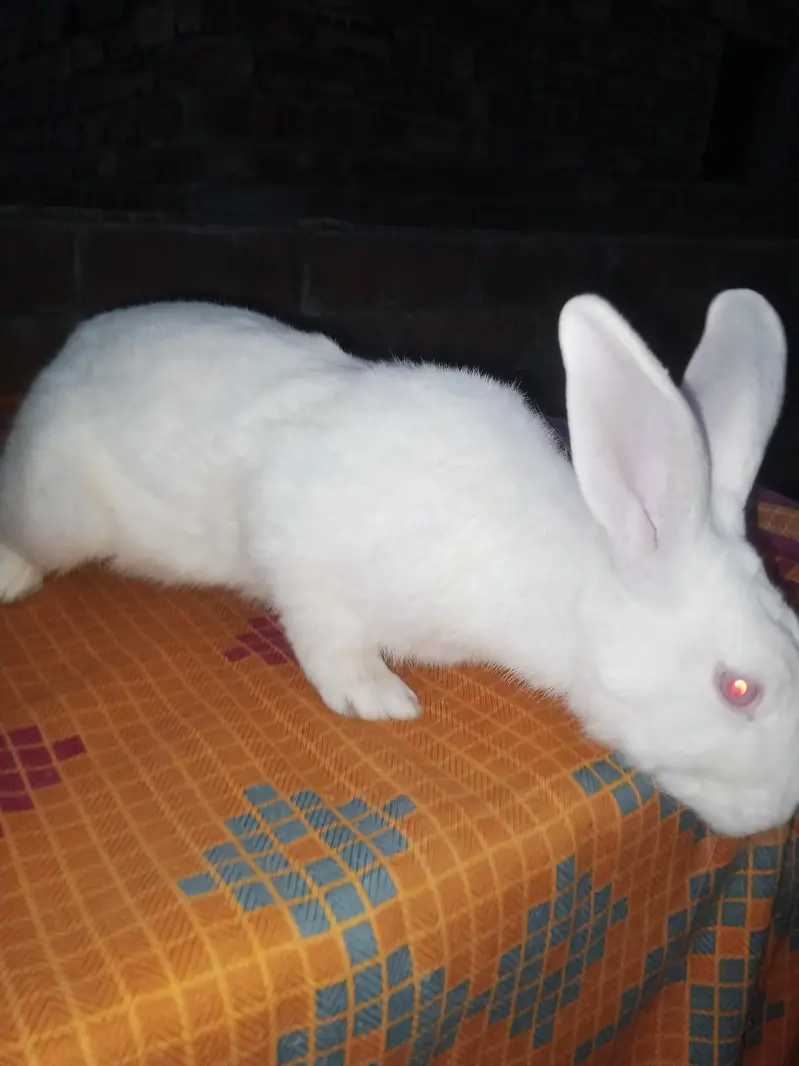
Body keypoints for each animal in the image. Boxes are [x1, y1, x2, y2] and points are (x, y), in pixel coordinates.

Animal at [0, 290, 797, 838]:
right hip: (61, 510)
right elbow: (326, 638)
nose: (779, 813)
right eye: (738, 688)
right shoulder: (301, 550)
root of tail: (70, 352)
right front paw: (376, 697)